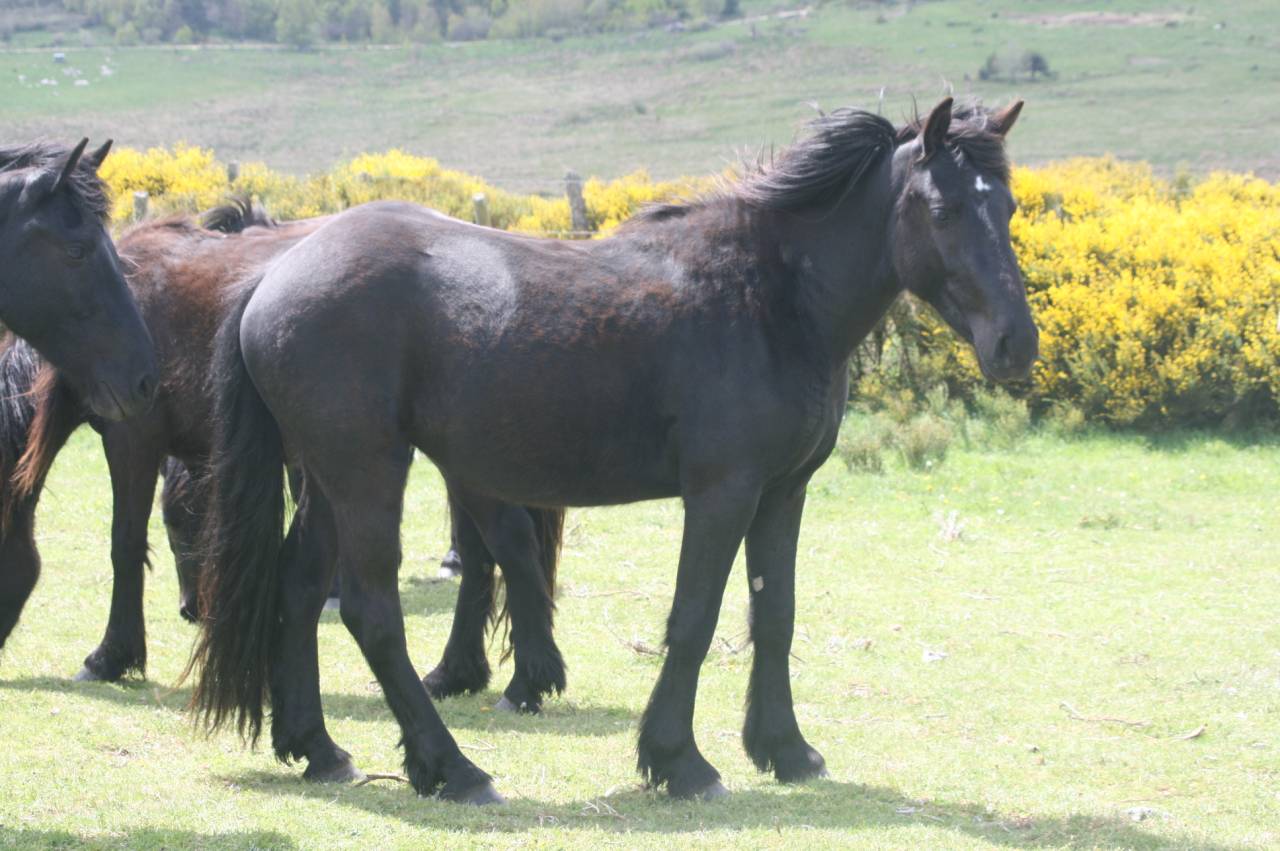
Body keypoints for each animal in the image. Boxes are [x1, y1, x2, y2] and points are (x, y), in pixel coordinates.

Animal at [189, 97, 1036, 804]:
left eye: (1007, 204)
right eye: (943, 206)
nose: (1015, 344)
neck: (768, 295)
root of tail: (273, 274)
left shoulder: (782, 492)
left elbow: (775, 614)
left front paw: (786, 750)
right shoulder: (723, 492)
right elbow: (694, 618)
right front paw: (678, 761)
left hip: (327, 481)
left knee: (300, 589)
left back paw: (318, 747)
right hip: (367, 476)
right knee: (371, 613)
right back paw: (453, 769)